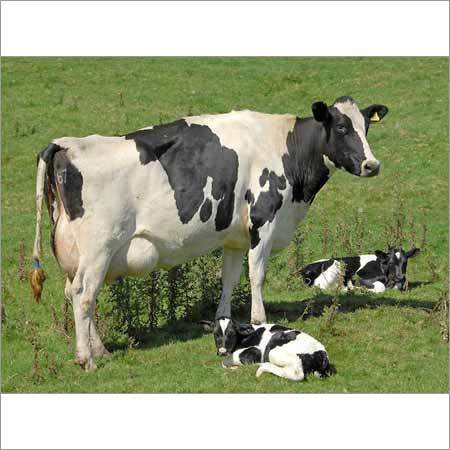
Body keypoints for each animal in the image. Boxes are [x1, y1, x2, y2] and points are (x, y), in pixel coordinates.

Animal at [30, 96, 386, 370]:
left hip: (78, 255)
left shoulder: (234, 236)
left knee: (74, 292)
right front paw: (259, 320)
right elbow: (256, 275)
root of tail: (66, 144)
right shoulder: (263, 221)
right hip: (99, 248)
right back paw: (86, 358)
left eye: (366, 127)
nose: (372, 165)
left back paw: (101, 350)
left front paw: (224, 321)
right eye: (341, 128)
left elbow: (229, 279)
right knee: (83, 294)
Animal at [200, 318, 334, 382]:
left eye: (232, 334)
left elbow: (226, 361)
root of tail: (321, 351)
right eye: (215, 334)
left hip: (273, 352)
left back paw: (261, 368)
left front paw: (234, 366)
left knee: (297, 374)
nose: (222, 351)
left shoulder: (256, 351)